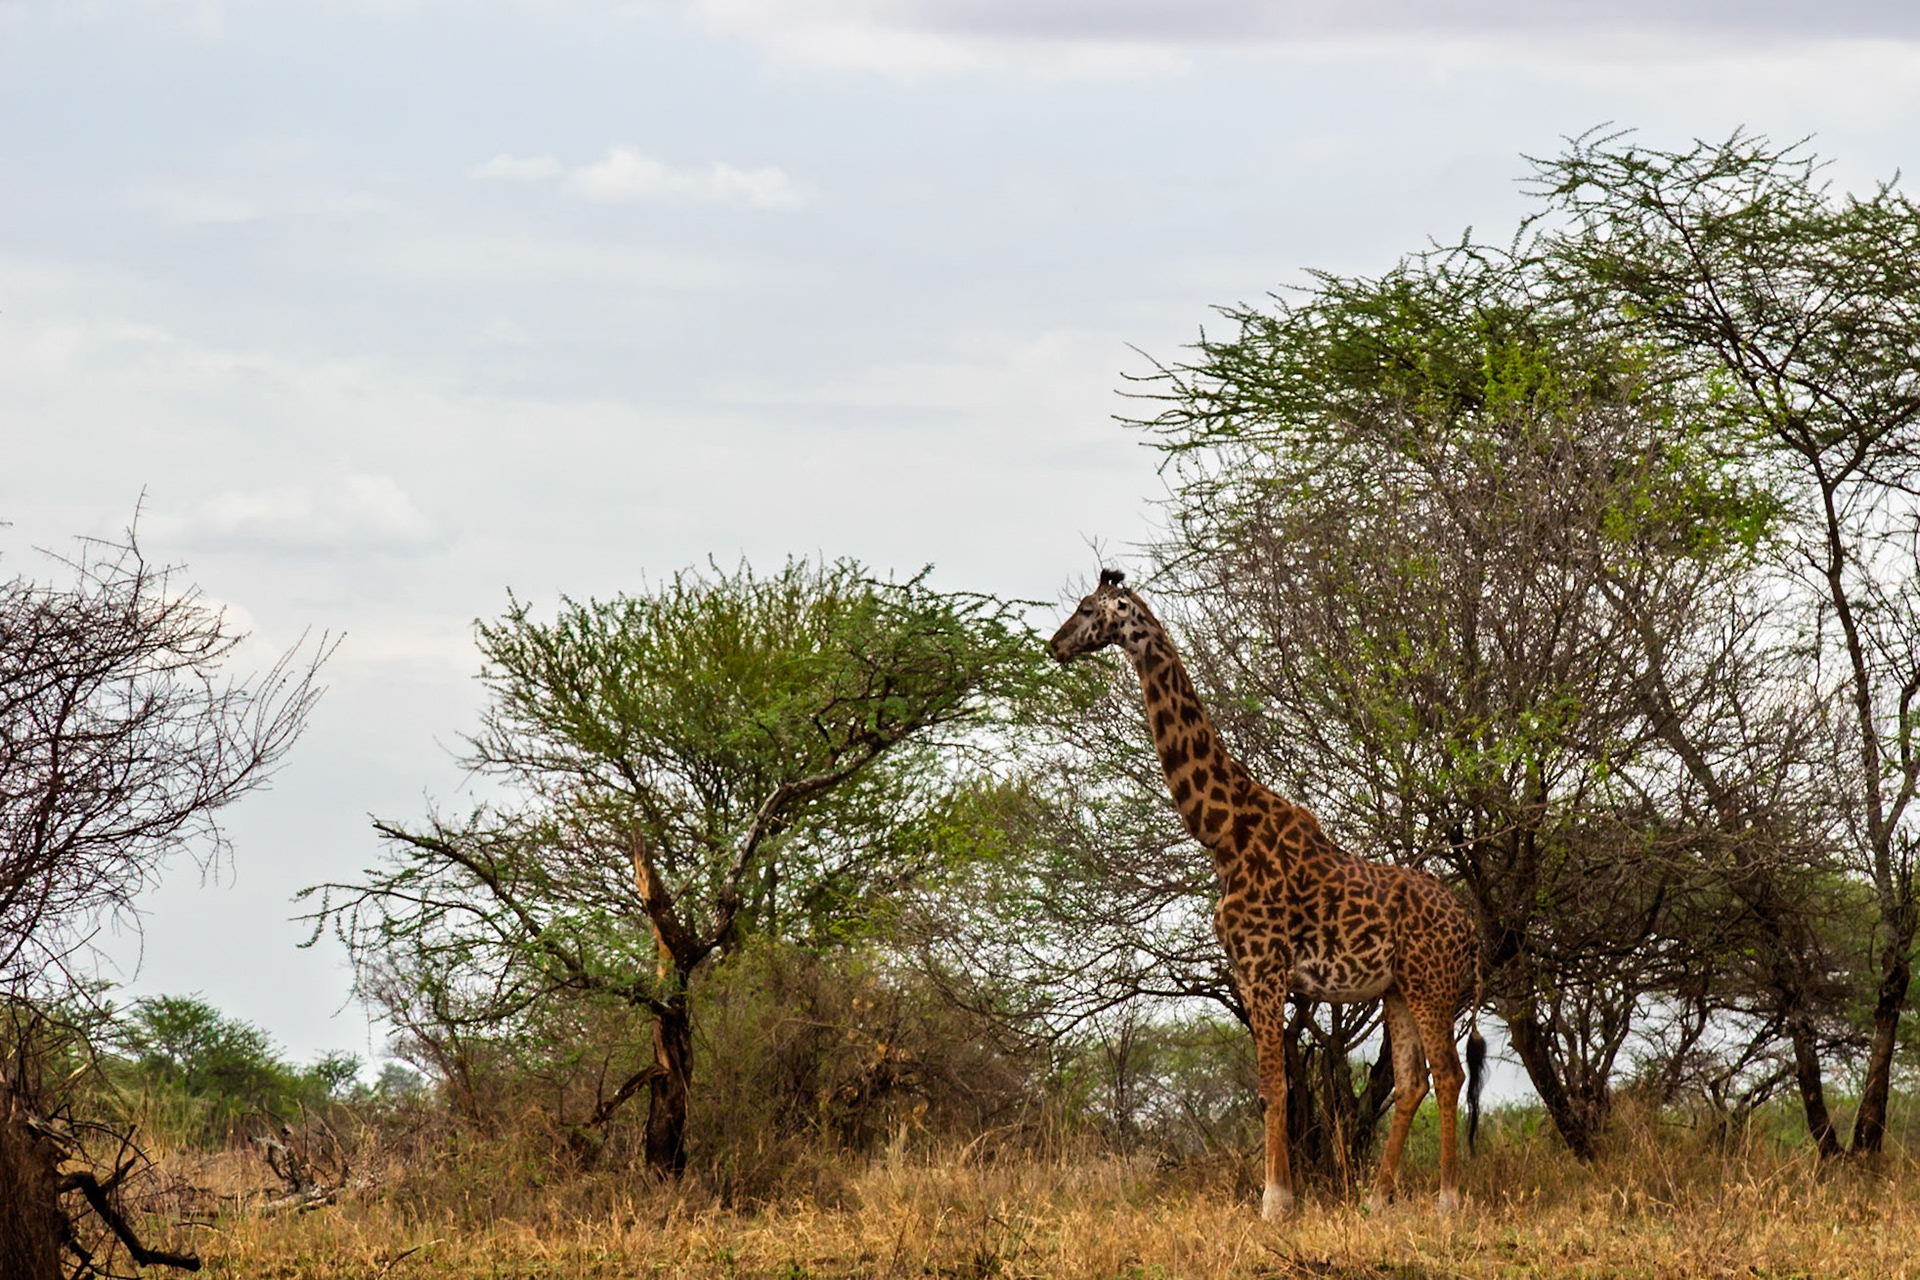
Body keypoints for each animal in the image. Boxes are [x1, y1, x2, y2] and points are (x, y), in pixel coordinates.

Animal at [1050, 569, 1484, 1220]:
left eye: (1084, 608)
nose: (1054, 645)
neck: (1224, 831)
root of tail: (1471, 928)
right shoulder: (1246, 967)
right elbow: (1272, 1086)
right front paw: (1285, 1197)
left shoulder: (1263, 965)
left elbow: (1272, 1085)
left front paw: (1276, 1203)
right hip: (1399, 988)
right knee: (1413, 1081)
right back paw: (1376, 1200)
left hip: (1433, 984)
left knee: (1449, 1074)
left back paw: (1448, 1203)